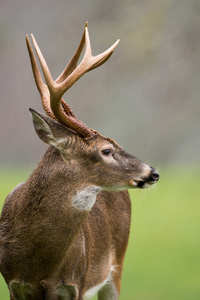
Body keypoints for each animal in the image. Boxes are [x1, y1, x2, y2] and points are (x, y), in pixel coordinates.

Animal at [0, 22, 159, 298]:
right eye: (106, 150)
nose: (153, 172)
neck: (38, 264)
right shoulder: (13, 283)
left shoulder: (75, 283)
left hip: (116, 267)